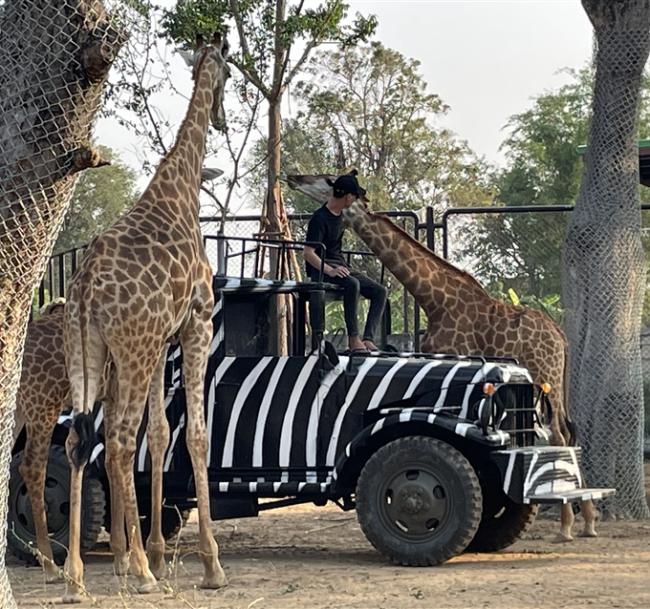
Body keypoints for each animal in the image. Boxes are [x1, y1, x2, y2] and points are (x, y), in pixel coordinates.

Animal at [60, 33, 228, 600]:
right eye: (228, 74)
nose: (221, 116)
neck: (180, 188)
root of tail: (86, 287)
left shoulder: (162, 340)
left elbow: (158, 436)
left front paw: (154, 549)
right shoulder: (197, 324)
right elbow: (194, 434)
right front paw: (209, 565)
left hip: (91, 350)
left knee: (82, 439)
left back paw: (80, 577)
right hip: (131, 349)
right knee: (116, 438)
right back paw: (138, 572)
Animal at [288, 172, 596, 540]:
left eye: (326, 180)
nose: (293, 177)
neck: (433, 299)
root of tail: (561, 337)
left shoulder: (452, 360)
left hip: (546, 378)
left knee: (561, 436)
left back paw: (567, 526)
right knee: (569, 433)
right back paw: (588, 521)